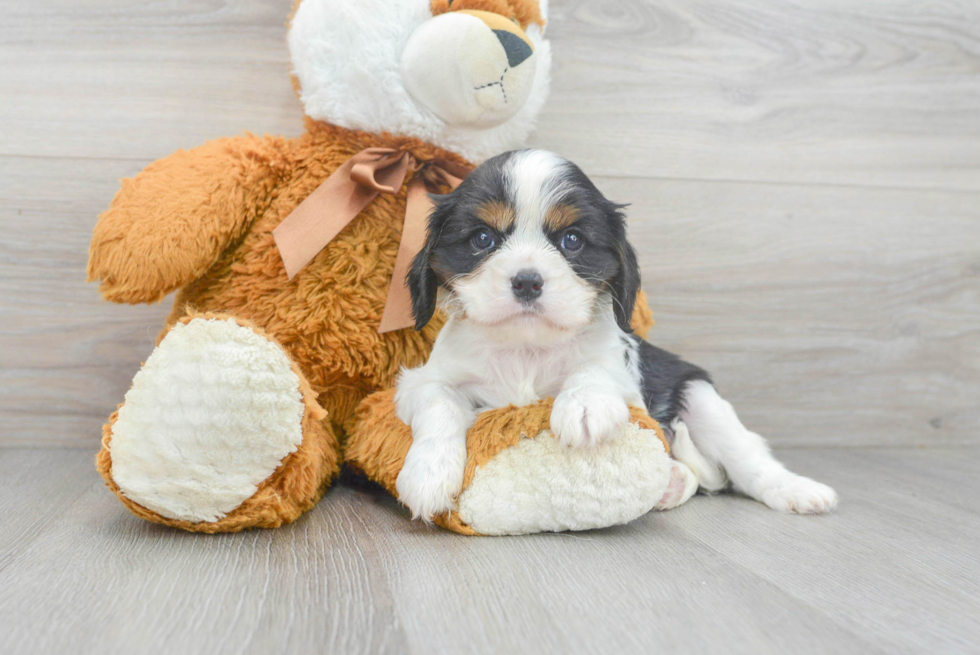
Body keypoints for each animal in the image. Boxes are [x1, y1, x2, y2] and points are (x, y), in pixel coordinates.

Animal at [394, 149, 840, 524]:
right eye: (483, 239)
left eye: (572, 240)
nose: (527, 282)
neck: (527, 347)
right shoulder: (422, 381)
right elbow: (439, 404)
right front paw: (428, 474)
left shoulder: (626, 373)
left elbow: (595, 369)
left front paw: (584, 405)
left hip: (701, 397)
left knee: (747, 456)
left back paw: (796, 489)